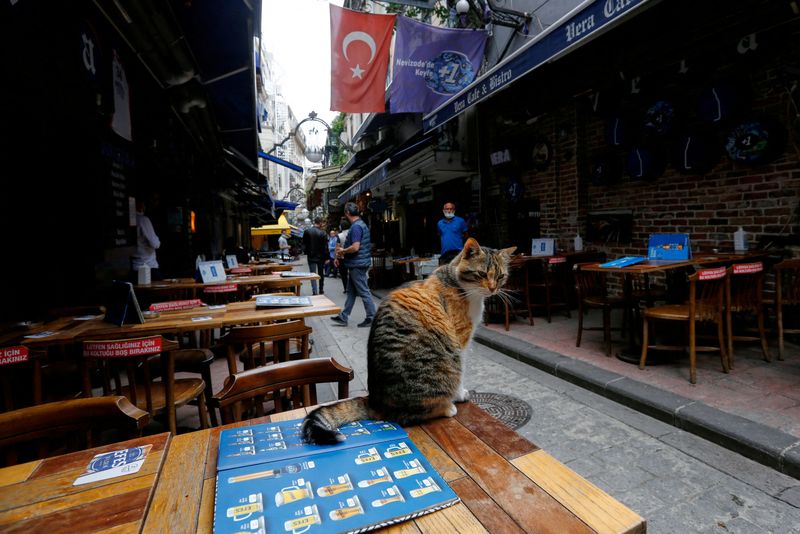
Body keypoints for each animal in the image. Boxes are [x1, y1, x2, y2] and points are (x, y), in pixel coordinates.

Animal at [304, 241, 516, 446]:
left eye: (500, 276)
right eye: (482, 274)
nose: (493, 288)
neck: (459, 284)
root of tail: (374, 401)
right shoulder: (460, 342)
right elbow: (462, 373)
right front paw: (460, 394)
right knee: (408, 415)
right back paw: (447, 408)